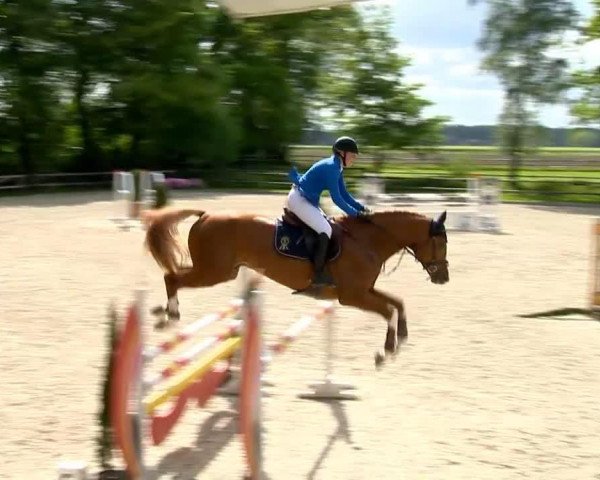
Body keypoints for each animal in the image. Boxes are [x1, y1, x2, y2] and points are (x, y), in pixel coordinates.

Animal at [143, 207, 448, 364]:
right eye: (441, 243)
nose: (443, 278)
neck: (368, 241)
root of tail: (206, 215)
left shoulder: (365, 291)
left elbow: (397, 303)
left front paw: (402, 338)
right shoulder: (353, 296)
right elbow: (388, 310)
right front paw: (386, 350)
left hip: (222, 272)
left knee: (173, 277)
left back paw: (163, 312)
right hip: (212, 272)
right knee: (172, 278)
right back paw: (169, 315)